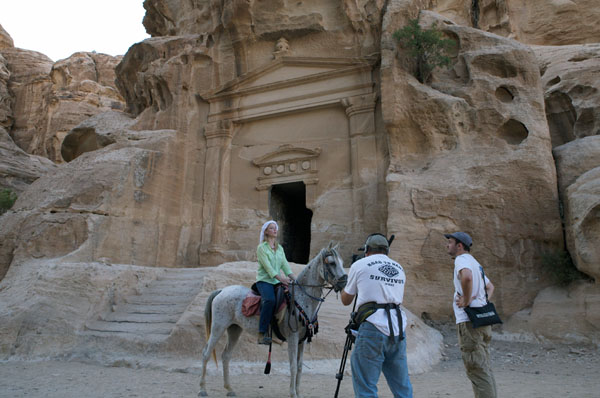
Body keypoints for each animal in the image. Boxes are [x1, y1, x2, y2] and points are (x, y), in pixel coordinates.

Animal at [198, 243, 346, 398]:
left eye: (342, 263)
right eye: (331, 263)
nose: (345, 281)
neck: (301, 299)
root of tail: (221, 291)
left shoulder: (302, 340)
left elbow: (299, 366)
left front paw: (298, 393)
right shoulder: (293, 338)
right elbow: (293, 366)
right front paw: (293, 393)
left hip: (234, 329)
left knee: (226, 356)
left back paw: (229, 389)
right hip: (218, 327)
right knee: (206, 354)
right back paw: (202, 389)